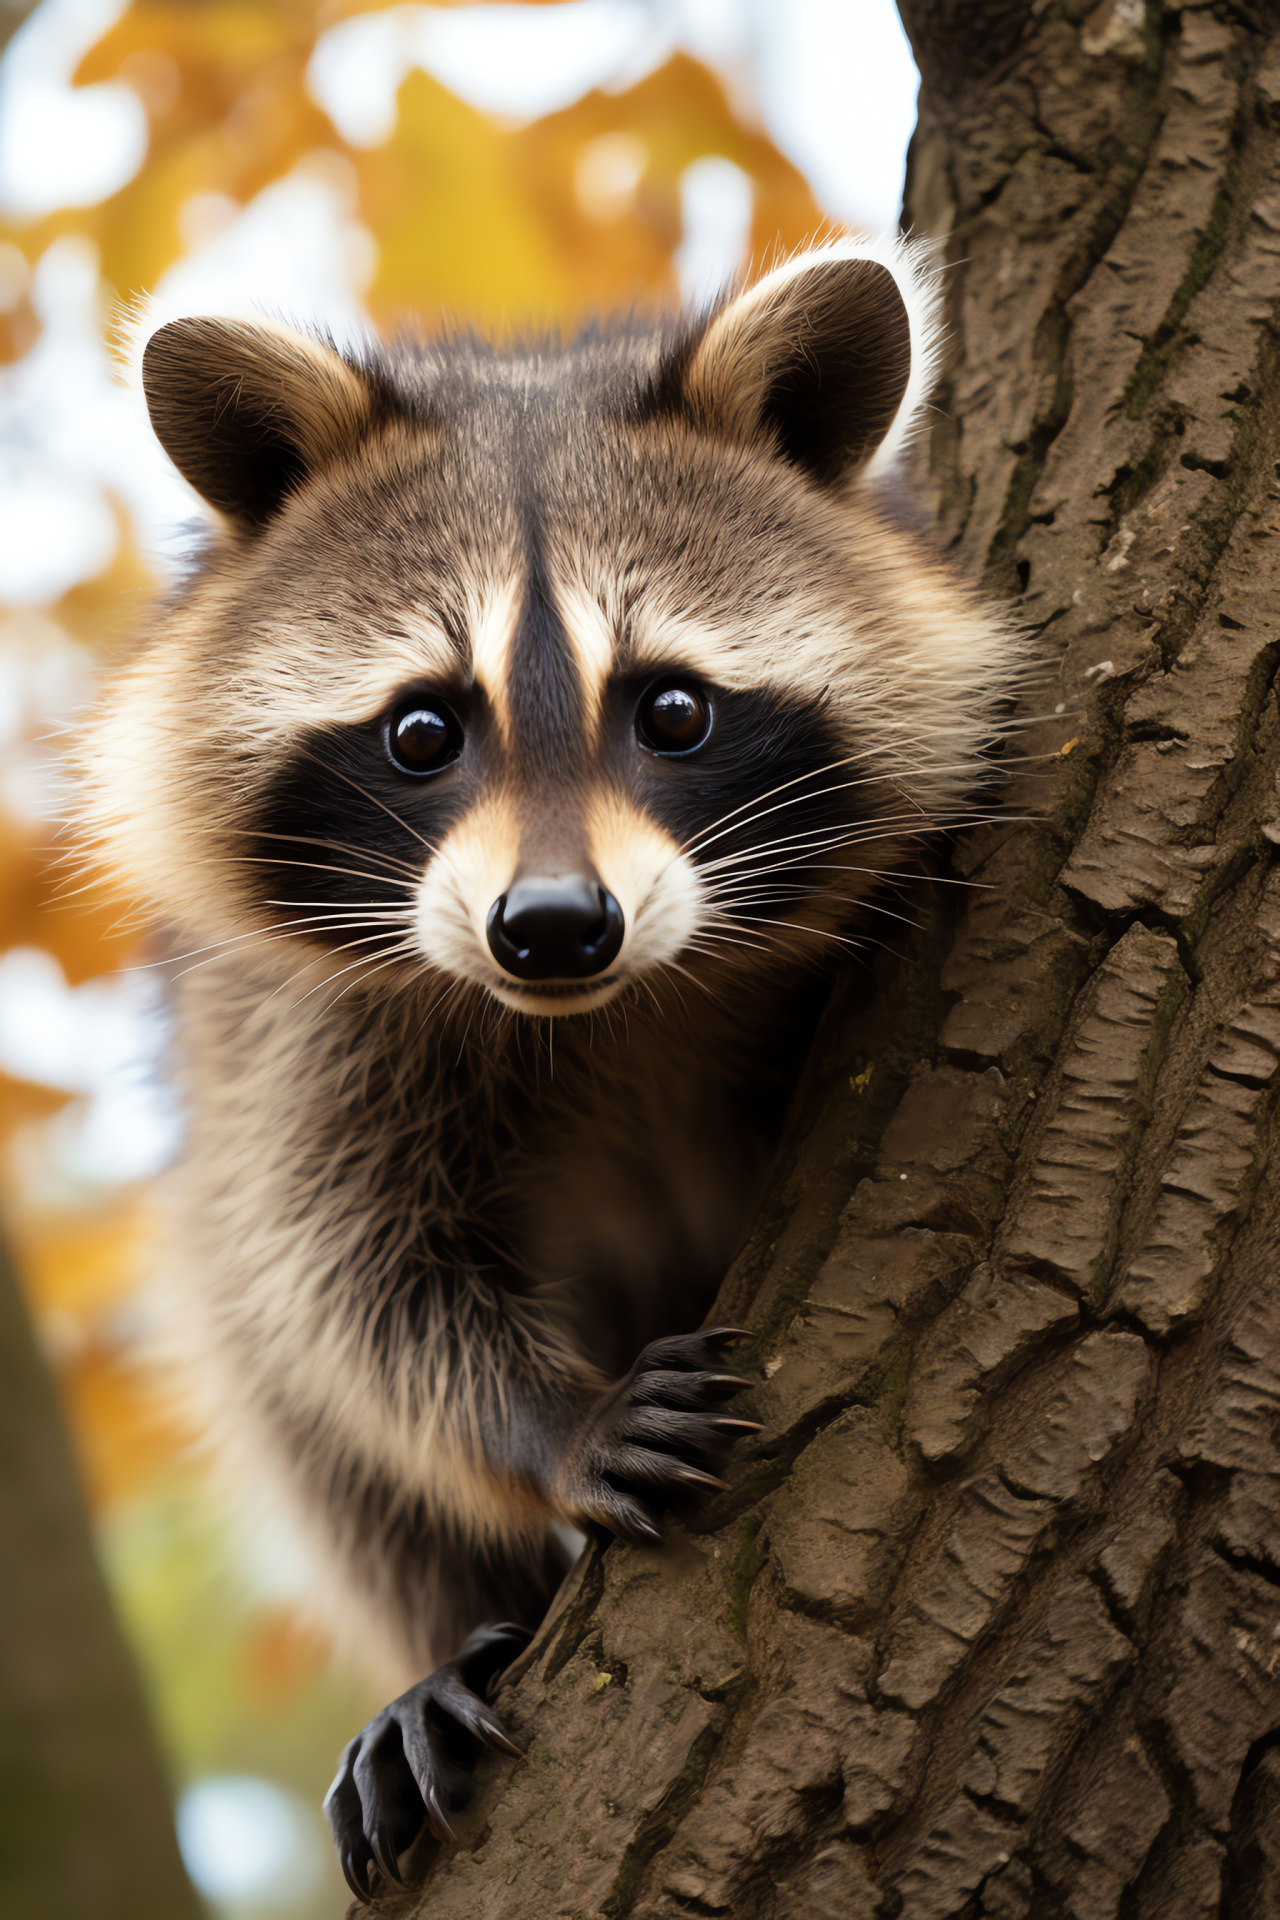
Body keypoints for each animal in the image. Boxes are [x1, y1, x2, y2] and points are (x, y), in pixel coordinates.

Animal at [84, 243, 1013, 1904]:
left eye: (674, 709)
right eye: (421, 731)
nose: (556, 927)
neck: (607, 1008)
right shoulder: (292, 1032)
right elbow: (340, 1278)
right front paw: (545, 1422)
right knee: (295, 1416)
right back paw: (448, 1639)